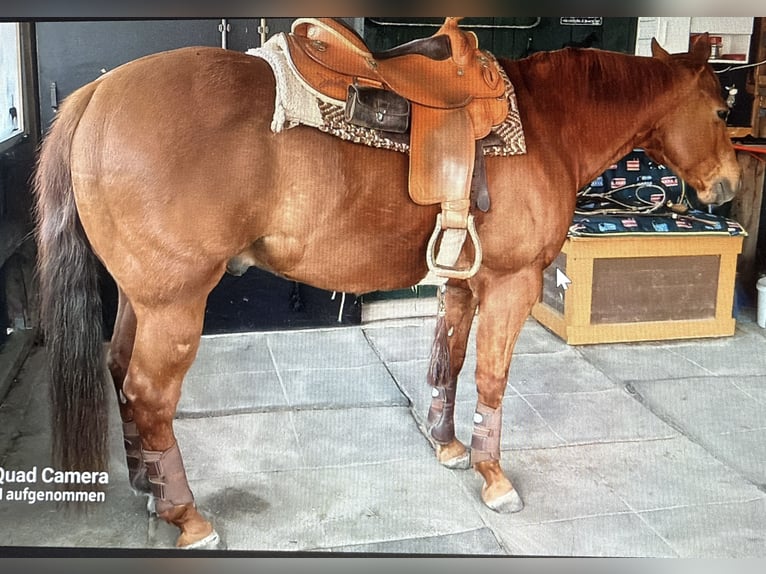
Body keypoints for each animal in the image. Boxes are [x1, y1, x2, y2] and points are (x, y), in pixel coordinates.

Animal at [32, 31, 740, 548]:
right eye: (722, 109)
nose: (730, 186)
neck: (547, 124)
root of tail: (96, 93)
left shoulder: (464, 284)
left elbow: (447, 362)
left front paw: (448, 446)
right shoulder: (512, 283)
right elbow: (492, 379)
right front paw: (493, 477)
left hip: (139, 299)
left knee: (119, 371)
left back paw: (149, 489)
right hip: (175, 306)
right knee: (149, 397)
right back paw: (187, 516)